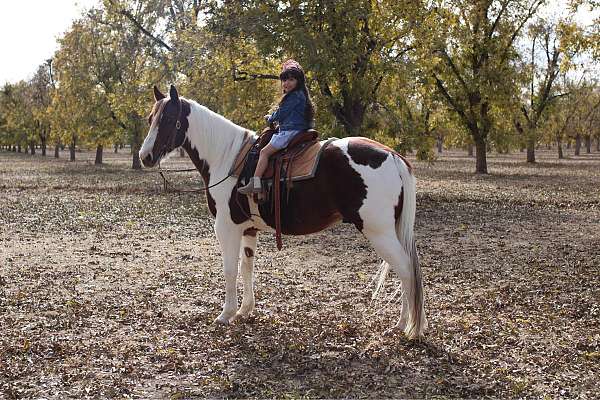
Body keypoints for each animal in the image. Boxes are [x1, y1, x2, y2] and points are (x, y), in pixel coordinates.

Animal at [139, 86, 426, 340]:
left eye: (168, 119)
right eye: (151, 118)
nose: (145, 156)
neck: (228, 159)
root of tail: (392, 155)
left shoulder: (226, 227)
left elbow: (230, 270)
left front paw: (226, 314)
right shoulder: (248, 229)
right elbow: (246, 267)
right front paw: (244, 311)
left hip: (379, 233)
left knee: (405, 270)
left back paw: (402, 325)